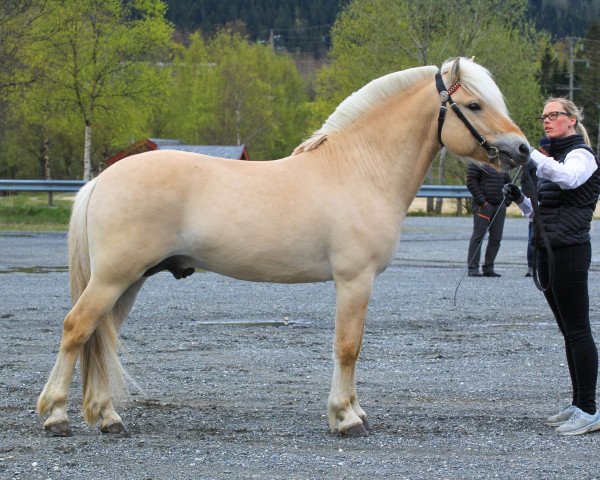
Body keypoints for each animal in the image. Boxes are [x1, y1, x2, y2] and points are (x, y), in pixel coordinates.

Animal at [37, 56, 528, 436]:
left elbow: (351, 346)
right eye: (474, 104)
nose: (522, 149)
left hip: (129, 281)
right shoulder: (355, 279)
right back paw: (56, 415)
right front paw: (345, 418)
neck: (361, 168)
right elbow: (348, 345)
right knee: (77, 328)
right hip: (113, 278)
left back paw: (107, 418)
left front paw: (354, 411)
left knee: (99, 336)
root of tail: (101, 180)